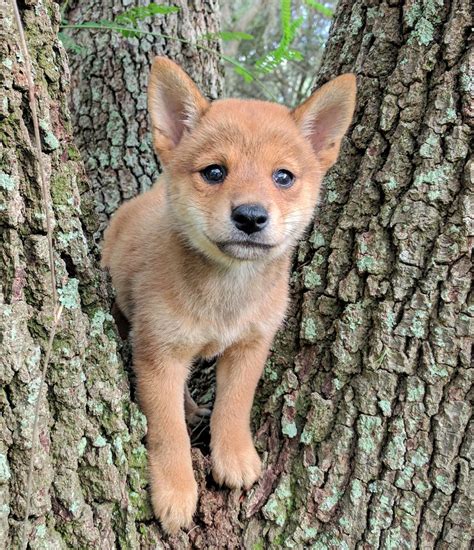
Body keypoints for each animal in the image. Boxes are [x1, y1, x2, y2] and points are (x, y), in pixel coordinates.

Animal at [103, 59, 356, 536]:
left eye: (283, 176)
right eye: (215, 172)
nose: (251, 216)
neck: (226, 294)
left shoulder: (251, 345)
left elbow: (235, 405)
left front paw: (235, 457)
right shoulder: (157, 353)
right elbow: (166, 430)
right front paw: (176, 490)